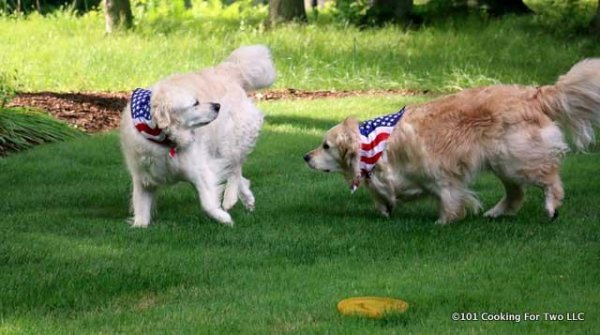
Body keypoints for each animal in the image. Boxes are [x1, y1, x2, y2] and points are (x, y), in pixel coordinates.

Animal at [120, 45, 278, 228]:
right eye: (195, 104)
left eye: (198, 100)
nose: (217, 106)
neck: (163, 139)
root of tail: (227, 70)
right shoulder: (144, 179)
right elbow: (141, 215)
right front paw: (139, 226)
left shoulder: (200, 170)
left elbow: (207, 204)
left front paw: (223, 218)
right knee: (238, 174)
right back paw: (247, 199)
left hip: (229, 141)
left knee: (235, 168)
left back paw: (230, 198)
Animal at [304, 59, 600, 224]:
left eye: (326, 146)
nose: (306, 157)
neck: (373, 145)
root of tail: (534, 93)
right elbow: (383, 193)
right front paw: (385, 207)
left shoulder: (440, 171)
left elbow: (447, 197)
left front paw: (444, 221)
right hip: (502, 163)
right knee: (516, 194)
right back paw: (495, 213)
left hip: (515, 158)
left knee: (549, 177)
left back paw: (551, 205)